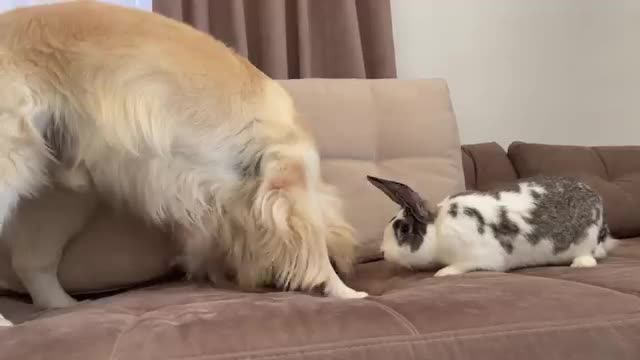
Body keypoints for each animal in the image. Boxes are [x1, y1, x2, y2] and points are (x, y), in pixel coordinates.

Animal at [0, 0, 368, 320]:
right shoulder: (288, 180)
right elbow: (316, 246)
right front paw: (344, 291)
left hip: (63, 196)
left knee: (32, 263)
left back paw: (62, 306)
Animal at [368, 174, 616, 276]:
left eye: (404, 229)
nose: (383, 252)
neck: (438, 228)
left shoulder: (477, 258)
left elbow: (460, 267)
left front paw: (443, 273)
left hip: (585, 239)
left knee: (590, 256)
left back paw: (580, 264)